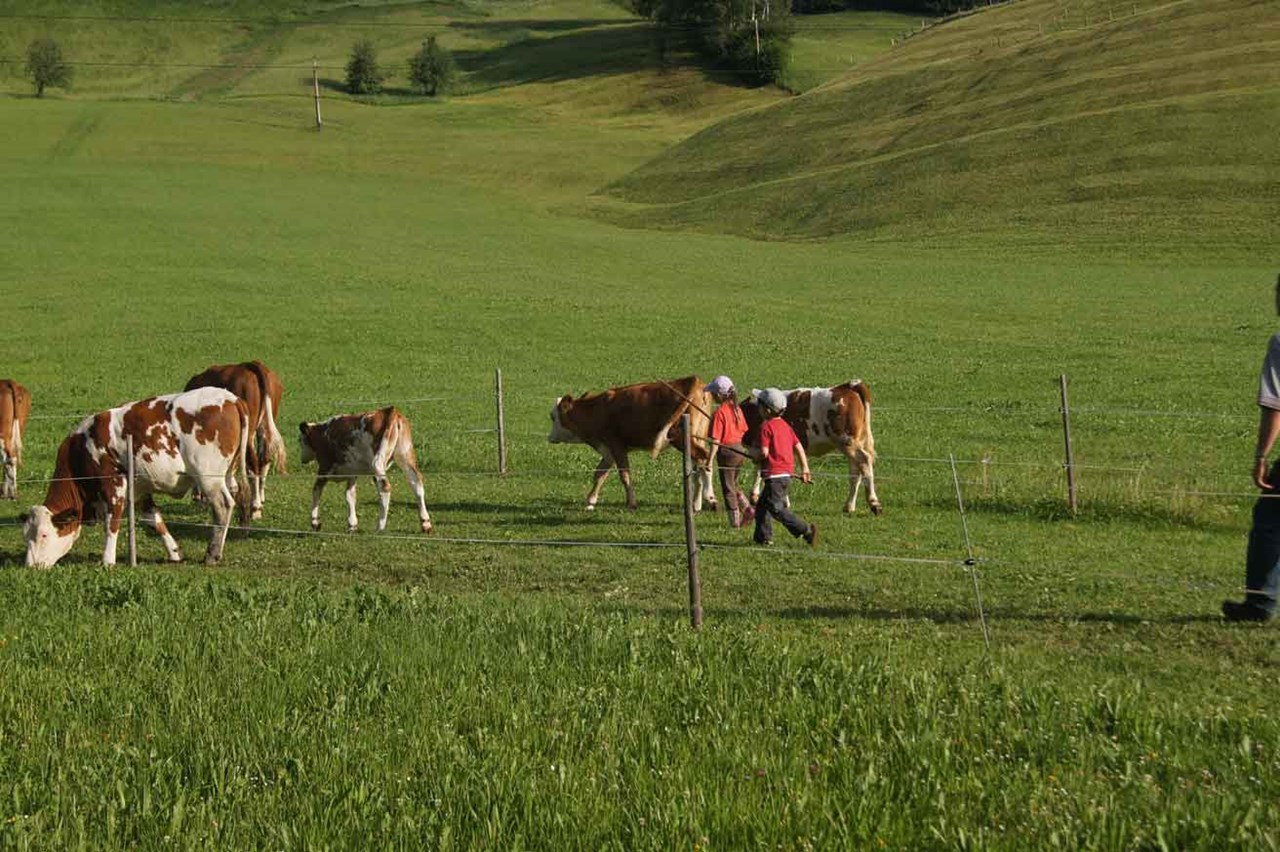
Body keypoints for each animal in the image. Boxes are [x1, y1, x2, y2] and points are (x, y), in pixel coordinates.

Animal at [23, 387, 251, 568]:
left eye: (43, 534)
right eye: (25, 536)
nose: (30, 566)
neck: (80, 450)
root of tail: (231, 398)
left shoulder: (113, 484)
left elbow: (112, 523)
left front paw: (108, 560)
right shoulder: (139, 488)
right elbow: (154, 519)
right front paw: (174, 552)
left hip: (208, 476)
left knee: (223, 506)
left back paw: (213, 554)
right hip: (228, 474)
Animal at [184, 360, 286, 519]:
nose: (196, 498)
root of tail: (251, 364)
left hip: (248, 430)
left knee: (252, 464)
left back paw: (255, 507)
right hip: (264, 426)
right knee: (264, 459)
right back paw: (260, 497)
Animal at [298, 407, 432, 534]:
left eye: (300, 440)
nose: (302, 459)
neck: (322, 433)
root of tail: (391, 411)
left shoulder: (324, 468)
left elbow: (316, 491)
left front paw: (315, 522)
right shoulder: (352, 472)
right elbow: (350, 496)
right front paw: (352, 525)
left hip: (377, 462)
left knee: (384, 487)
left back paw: (380, 526)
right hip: (406, 456)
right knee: (417, 483)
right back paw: (425, 523)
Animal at [547, 375, 715, 511]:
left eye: (553, 417)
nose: (549, 437)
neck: (597, 409)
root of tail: (693, 380)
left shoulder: (617, 445)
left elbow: (624, 475)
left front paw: (631, 503)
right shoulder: (608, 450)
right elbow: (600, 473)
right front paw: (591, 501)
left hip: (679, 436)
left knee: (703, 458)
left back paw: (708, 498)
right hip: (697, 436)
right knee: (700, 465)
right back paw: (697, 503)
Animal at [743, 380, 881, 515]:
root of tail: (848, 385)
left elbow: (761, 470)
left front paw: (758, 496)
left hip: (847, 441)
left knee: (864, 461)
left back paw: (874, 503)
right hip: (853, 443)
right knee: (855, 473)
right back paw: (849, 506)